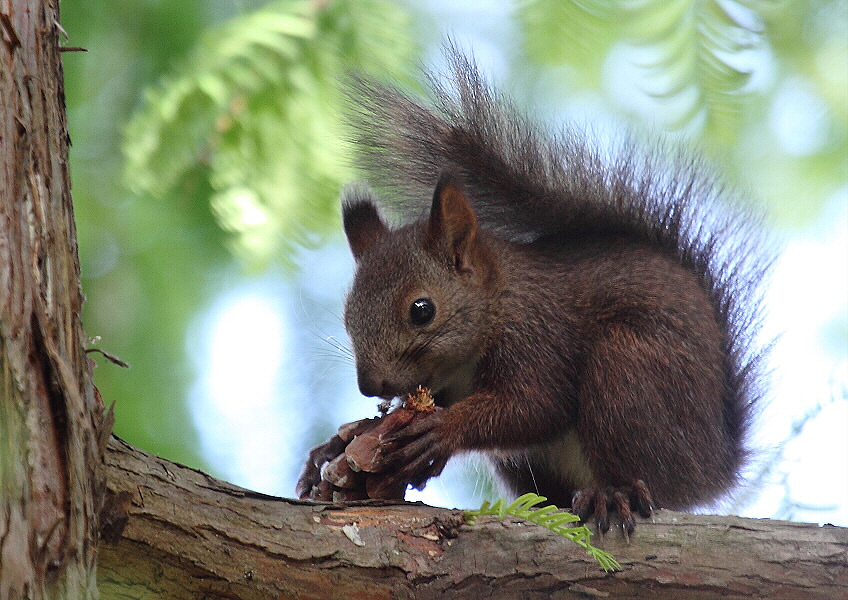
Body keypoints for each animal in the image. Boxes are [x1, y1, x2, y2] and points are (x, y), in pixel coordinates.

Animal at [298, 49, 768, 532]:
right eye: (348, 315)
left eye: (422, 309)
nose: (370, 385)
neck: (498, 304)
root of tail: (715, 467)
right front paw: (344, 440)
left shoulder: (538, 336)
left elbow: (536, 406)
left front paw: (444, 430)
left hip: (630, 370)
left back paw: (615, 492)